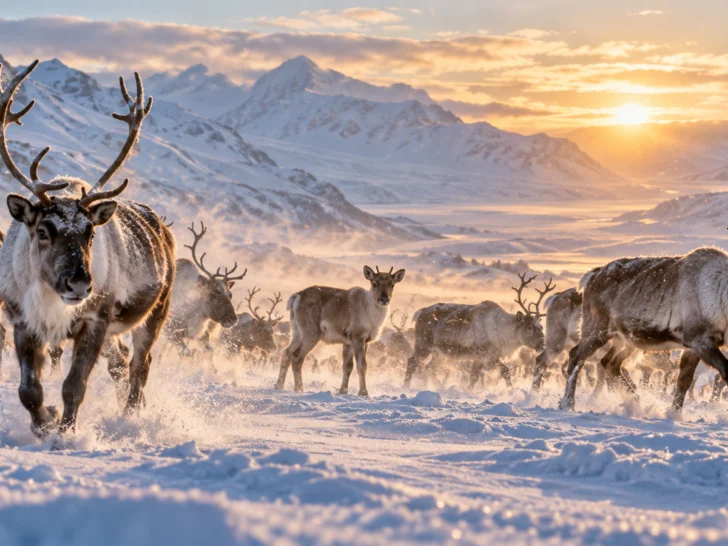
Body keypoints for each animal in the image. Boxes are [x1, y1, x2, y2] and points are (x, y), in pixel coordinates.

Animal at [0, 60, 176, 436]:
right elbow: (28, 390)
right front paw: (45, 423)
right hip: (114, 332)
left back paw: (130, 415)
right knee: (120, 364)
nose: (79, 283)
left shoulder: (96, 320)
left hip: (156, 311)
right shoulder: (22, 321)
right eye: (42, 231)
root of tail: (163, 230)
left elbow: (74, 386)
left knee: (140, 364)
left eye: (91, 233)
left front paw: (65, 433)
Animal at [164, 222, 243, 358]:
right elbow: (186, 352)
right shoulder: (168, 329)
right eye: (214, 293)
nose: (233, 319)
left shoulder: (201, 335)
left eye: (230, 294)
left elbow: (208, 351)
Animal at [275, 265, 406, 395]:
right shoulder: (358, 337)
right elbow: (362, 366)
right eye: (374, 284)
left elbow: (347, 367)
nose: (384, 299)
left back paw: (279, 386)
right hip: (311, 333)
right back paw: (299, 388)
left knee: (286, 353)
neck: (371, 312)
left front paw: (343, 390)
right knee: (297, 357)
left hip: (297, 332)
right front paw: (363, 392)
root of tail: (297, 296)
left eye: (392, 284)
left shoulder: (353, 342)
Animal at [404, 273, 553, 391]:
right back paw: (406, 386)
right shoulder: (483, 354)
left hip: (440, 353)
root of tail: (420, 312)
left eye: (541, 326)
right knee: (412, 362)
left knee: (429, 368)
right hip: (424, 345)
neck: (502, 332)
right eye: (529, 327)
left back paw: (438, 387)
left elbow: (480, 375)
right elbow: (495, 373)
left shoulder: (487, 357)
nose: (542, 344)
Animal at [560, 248, 728, 412]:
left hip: (624, 339)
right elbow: (724, 371)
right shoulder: (699, 339)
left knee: (609, 362)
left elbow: (684, 381)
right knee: (576, 356)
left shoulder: (693, 346)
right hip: (596, 329)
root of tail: (591, 276)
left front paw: (674, 413)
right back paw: (567, 403)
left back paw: (634, 400)